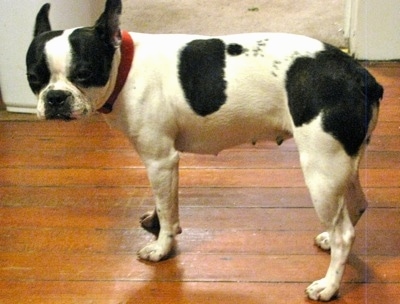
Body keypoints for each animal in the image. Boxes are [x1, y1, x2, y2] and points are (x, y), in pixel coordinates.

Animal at [26, 0, 382, 300]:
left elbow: (168, 209)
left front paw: (161, 247)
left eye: (84, 74)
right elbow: (164, 202)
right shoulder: (161, 165)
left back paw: (329, 285)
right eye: (33, 77)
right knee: (356, 206)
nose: (55, 98)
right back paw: (330, 242)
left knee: (344, 234)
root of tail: (361, 76)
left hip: (322, 171)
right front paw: (155, 222)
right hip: (344, 165)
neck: (124, 65)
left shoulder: (160, 160)